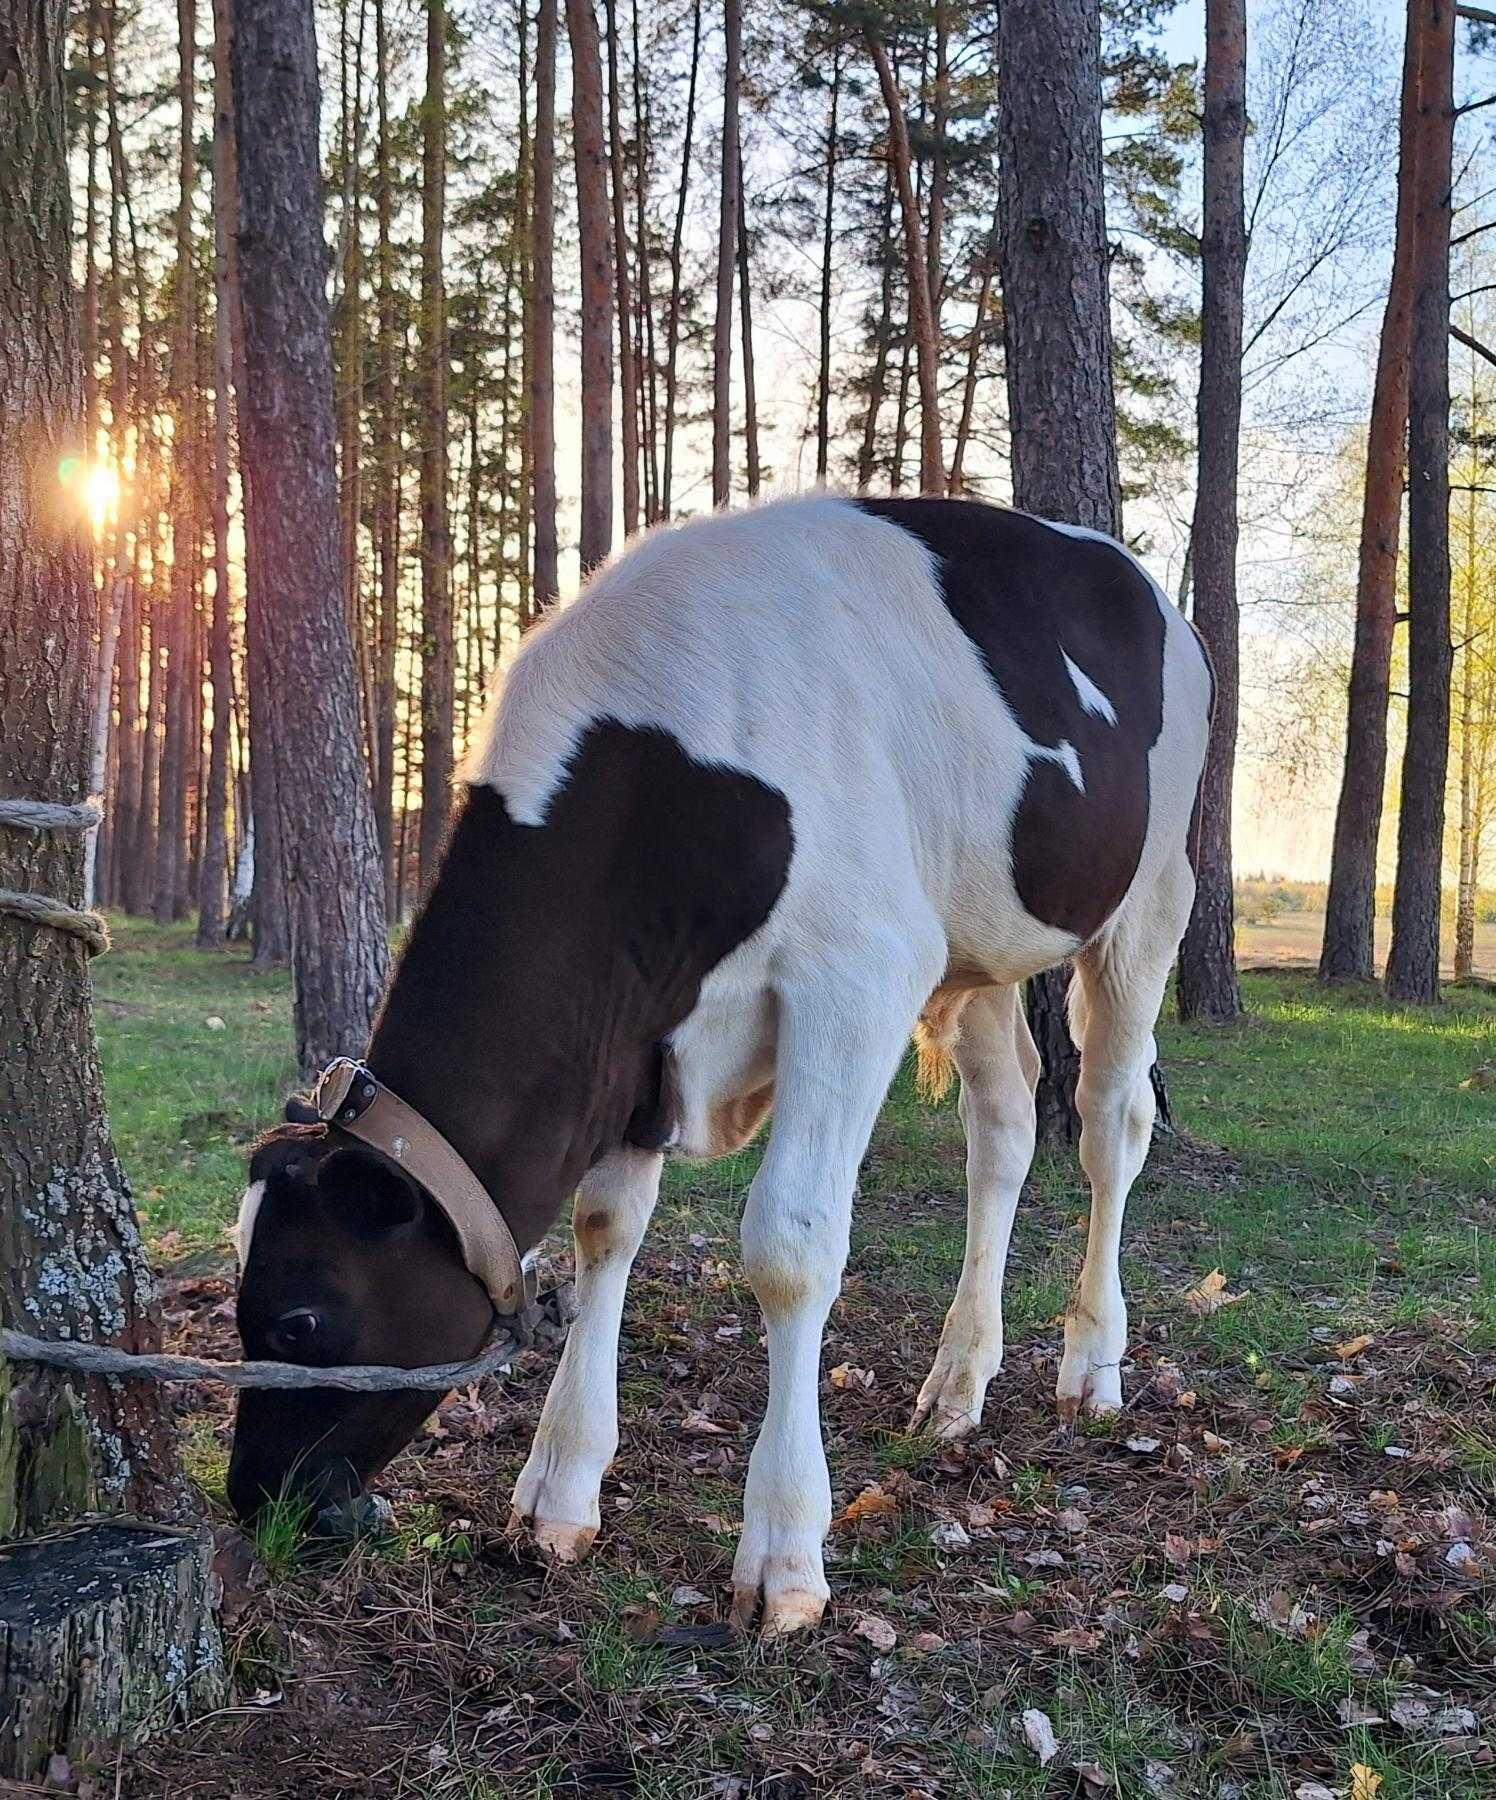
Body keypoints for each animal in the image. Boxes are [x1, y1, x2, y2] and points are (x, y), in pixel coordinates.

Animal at [230, 500, 1216, 1641]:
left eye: (303, 1320)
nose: (252, 1496)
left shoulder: (856, 974)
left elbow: (790, 1247)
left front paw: (784, 1551)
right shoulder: (632, 1037)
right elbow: (603, 1227)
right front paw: (557, 1491)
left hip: (1149, 897)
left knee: (1108, 1122)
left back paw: (1090, 1365)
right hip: (977, 946)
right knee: (1004, 1127)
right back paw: (957, 1381)